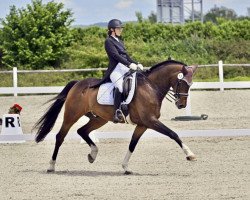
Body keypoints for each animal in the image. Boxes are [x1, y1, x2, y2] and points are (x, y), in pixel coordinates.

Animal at [34, 58, 197, 174]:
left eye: (190, 84)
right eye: (182, 82)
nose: (181, 105)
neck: (151, 87)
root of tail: (77, 83)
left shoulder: (143, 124)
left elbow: (132, 144)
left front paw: (126, 167)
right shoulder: (151, 121)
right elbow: (173, 134)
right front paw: (190, 155)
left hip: (100, 119)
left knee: (82, 131)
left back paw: (93, 154)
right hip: (71, 115)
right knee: (60, 136)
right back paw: (51, 166)